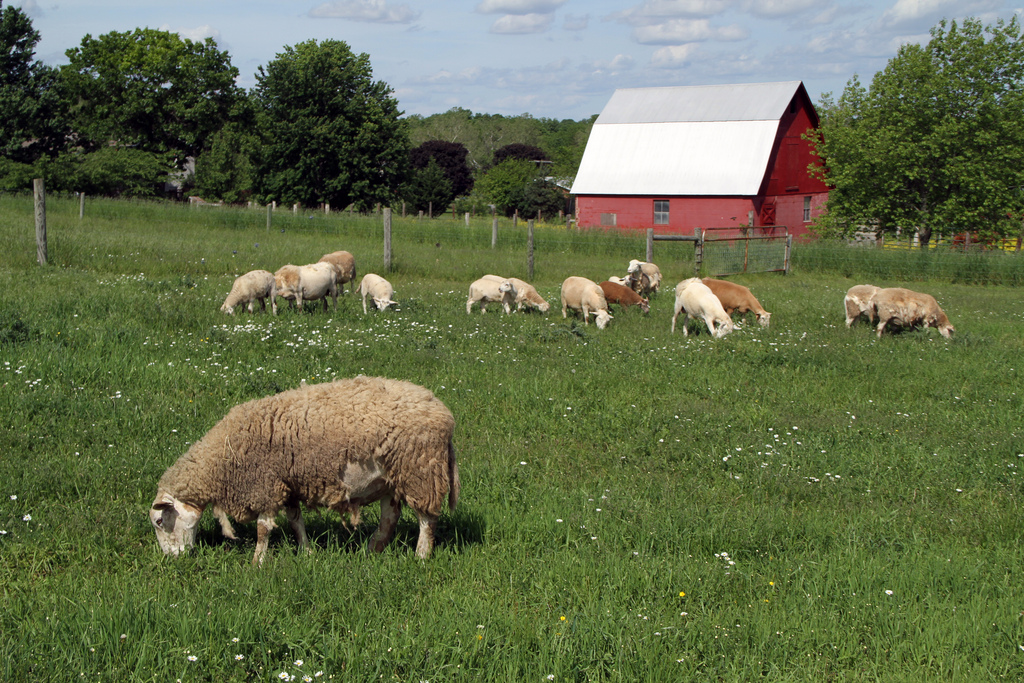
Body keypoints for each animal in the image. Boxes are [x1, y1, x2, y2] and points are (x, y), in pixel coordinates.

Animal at [149, 376, 460, 565]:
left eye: (159, 521)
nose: (171, 559)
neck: (224, 455)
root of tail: (443, 412)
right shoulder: (287, 485)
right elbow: (295, 522)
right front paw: (306, 552)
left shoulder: (266, 485)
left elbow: (263, 529)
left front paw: (257, 562)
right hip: (391, 479)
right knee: (389, 518)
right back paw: (372, 551)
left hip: (420, 471)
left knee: (426, 519)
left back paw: (421, 555)